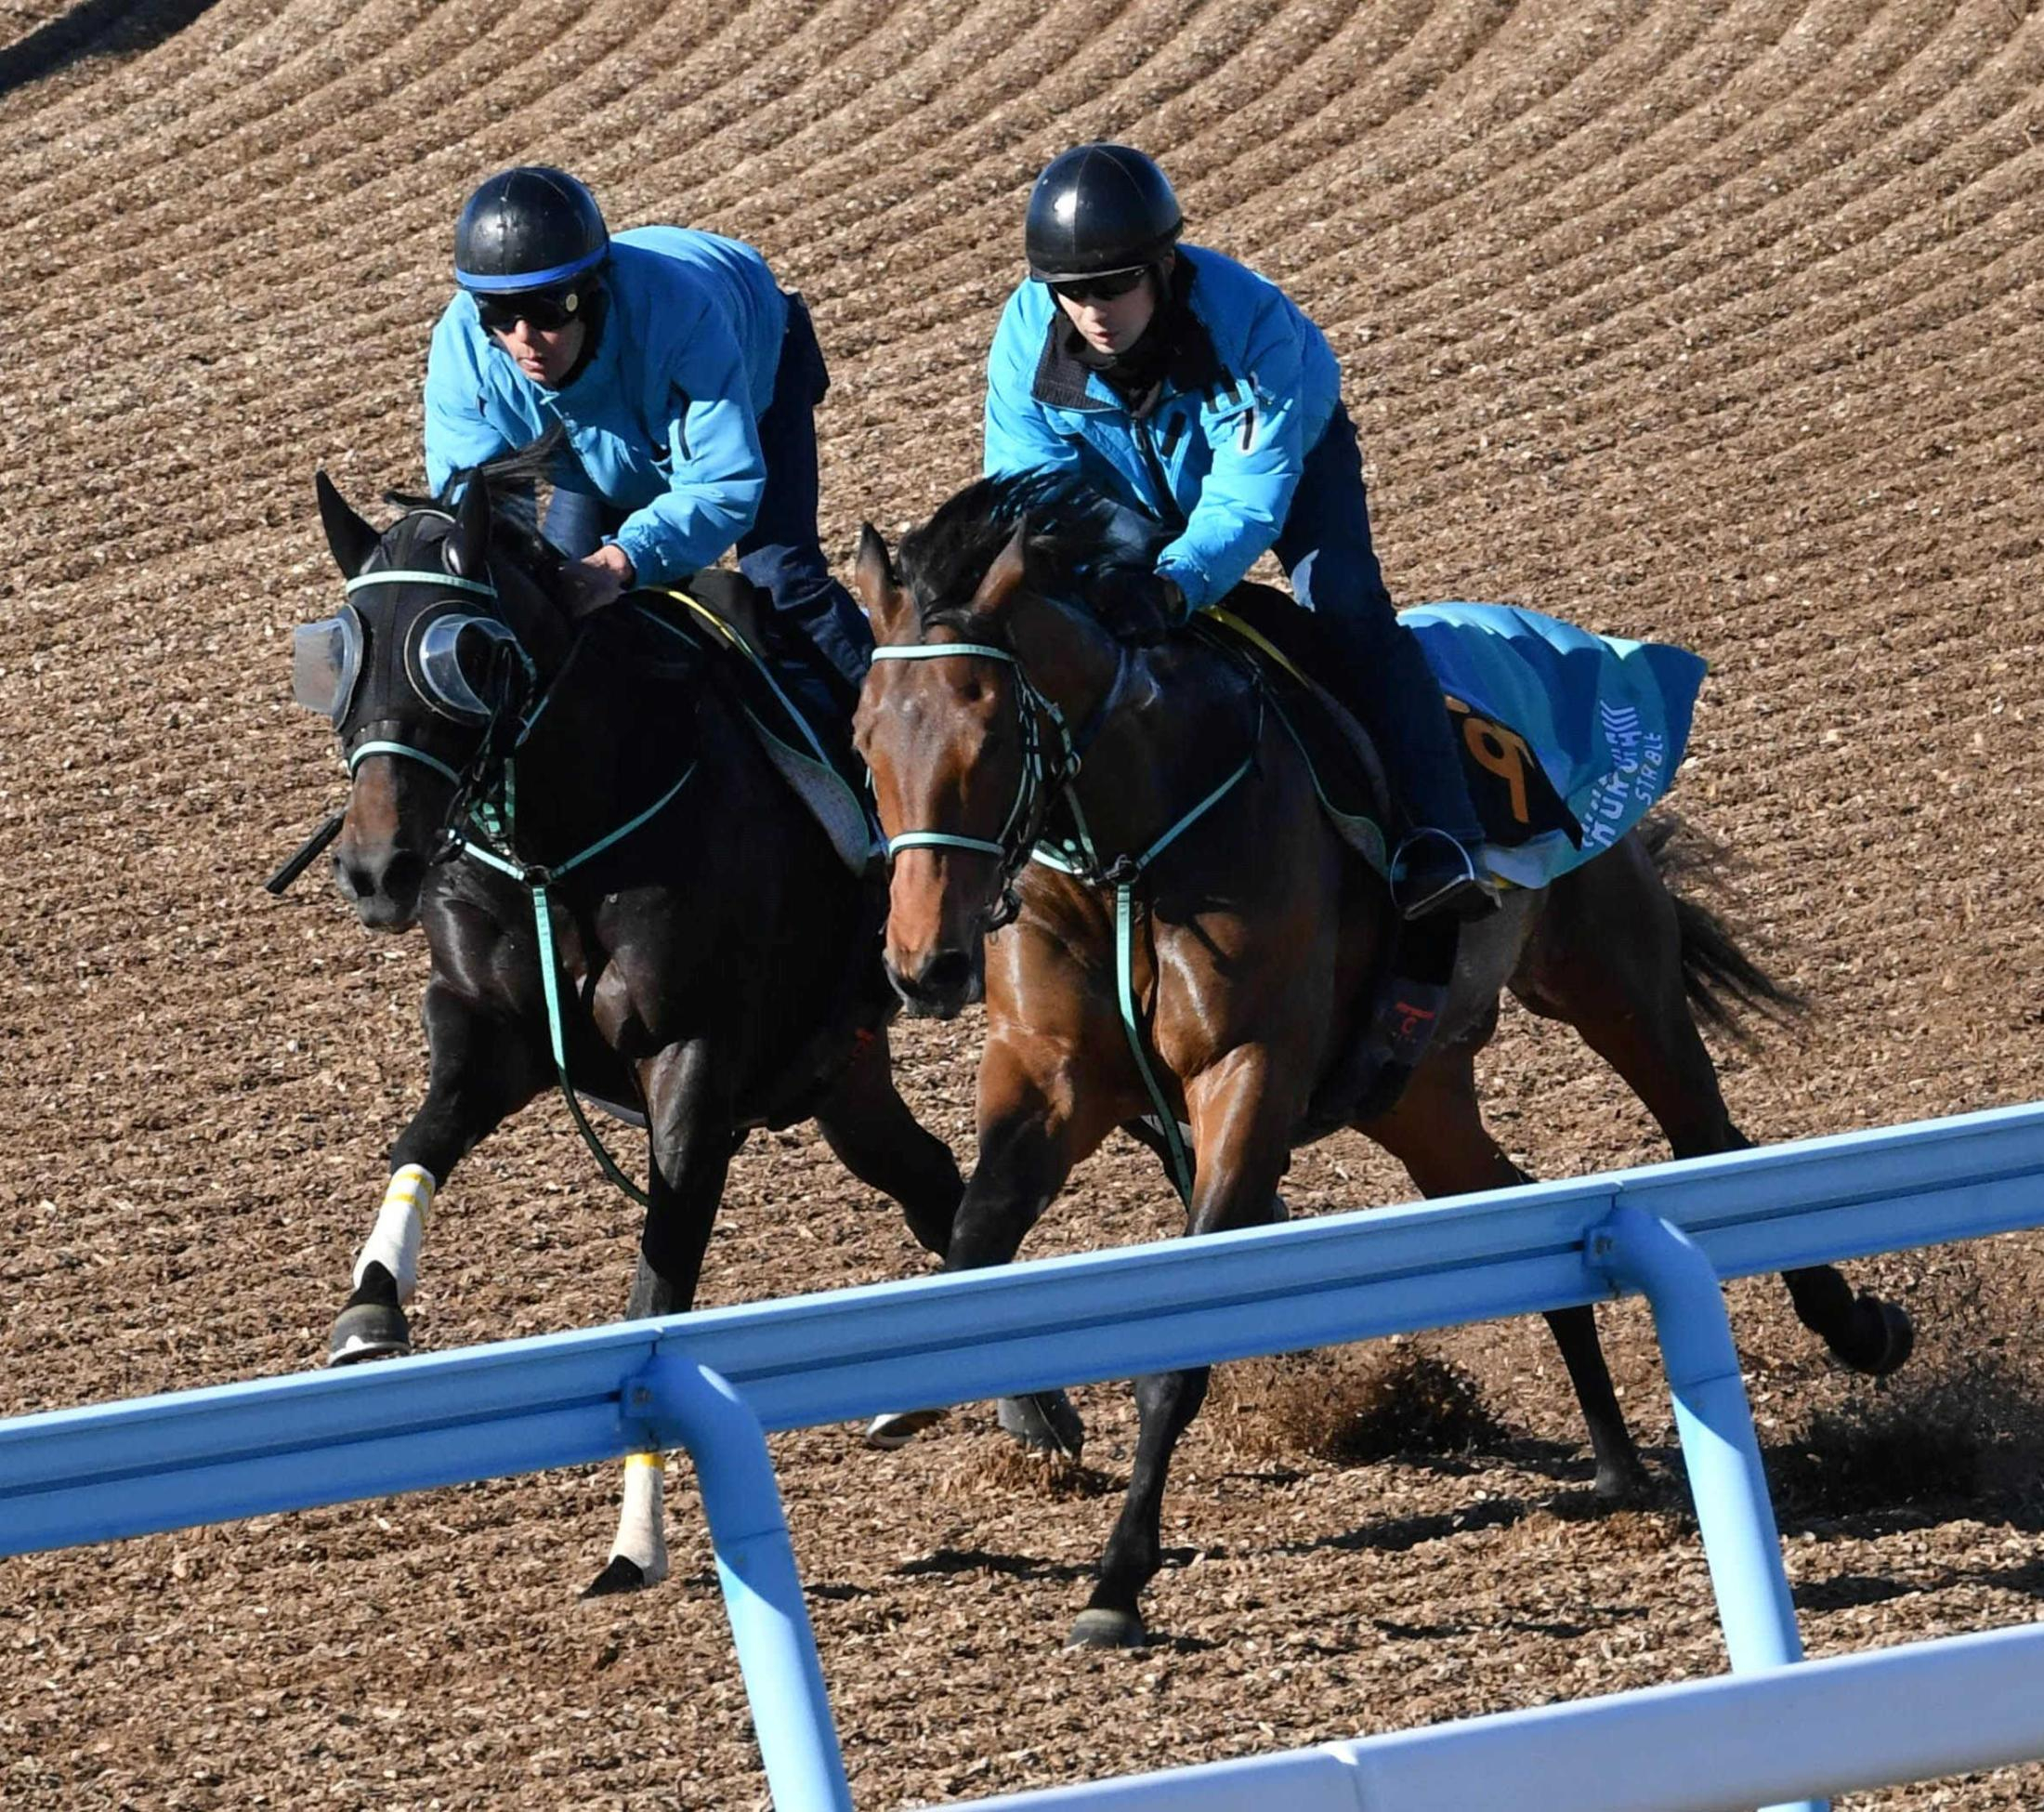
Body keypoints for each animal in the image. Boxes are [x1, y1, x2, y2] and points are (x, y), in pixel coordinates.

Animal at [300, 460, 964, 1595]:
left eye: (461, 653)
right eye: (348, 646)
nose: (375, 870)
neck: (565, 840)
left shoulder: (692, 1062)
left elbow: (658, 1292)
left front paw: (635, 1539)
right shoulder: (489, 1026)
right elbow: (420, 1139)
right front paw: (370, 1310)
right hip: (843, 1081)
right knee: (938, 1183)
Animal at [845, 474, 1913, 1652]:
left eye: (987, 736)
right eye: (863, 740)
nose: (925, 965)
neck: (1132, 846)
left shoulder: (1248, 1076)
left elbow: (1179, 1348)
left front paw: (1117, 1581)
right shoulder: (1045, 1075)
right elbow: (975, 1231)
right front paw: (924, 1387)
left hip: (1608, 979)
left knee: (1709, 1141)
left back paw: (1857, 1328)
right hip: (1409, 1086)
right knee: (1513, 1205)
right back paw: (1615, 1467)